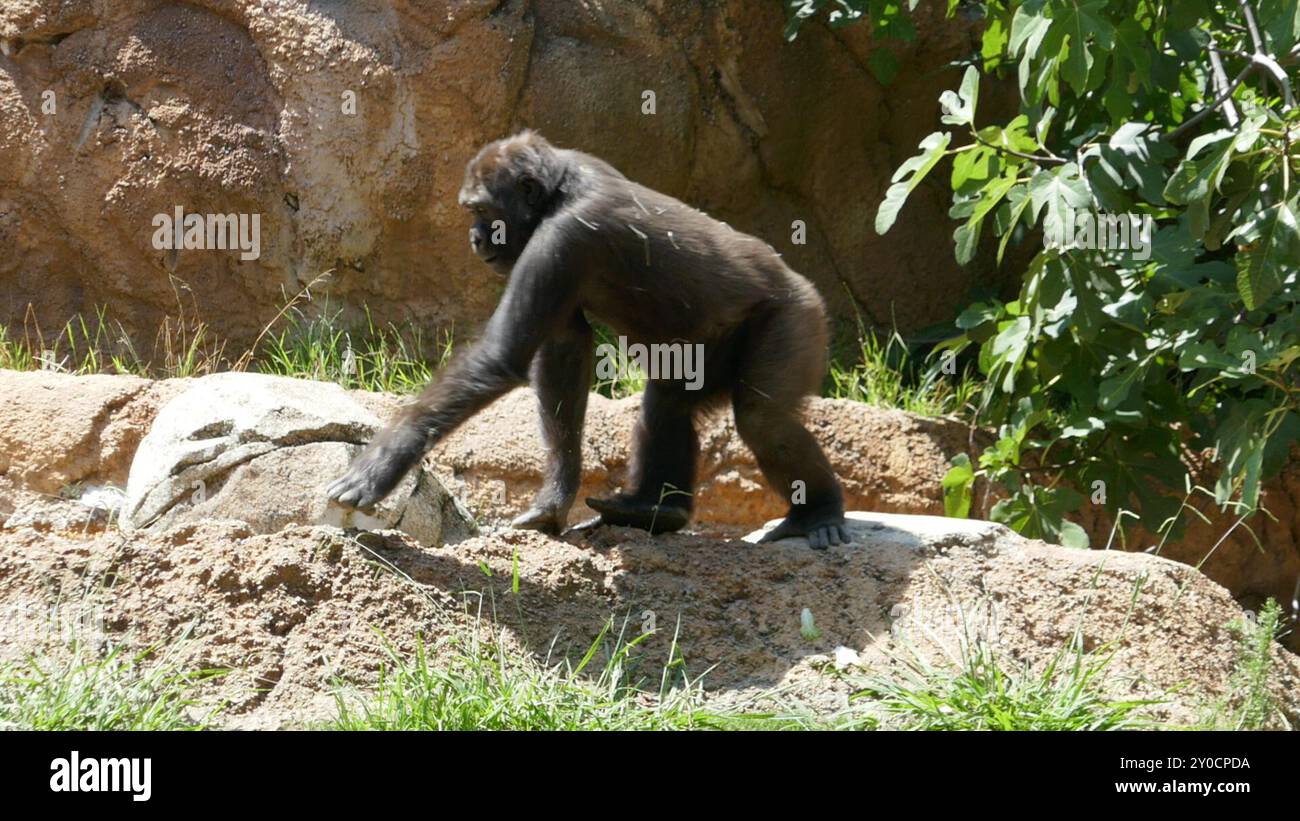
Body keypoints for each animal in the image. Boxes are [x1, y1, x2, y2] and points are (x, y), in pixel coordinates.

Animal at [327, 131, 849, 548]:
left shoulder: (565, 237)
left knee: (764, 421)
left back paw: (818, 511)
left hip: (797, 316)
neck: (557, 191)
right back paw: (656, 509)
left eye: (481, 211)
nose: (474, 240)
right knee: (668, 403)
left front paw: (380, 464)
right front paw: (556, 497)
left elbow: (501, 356)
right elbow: (564, 350)